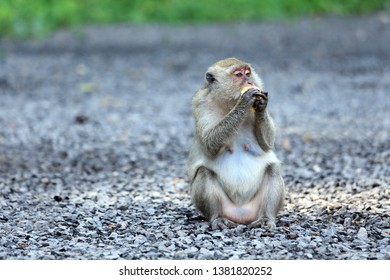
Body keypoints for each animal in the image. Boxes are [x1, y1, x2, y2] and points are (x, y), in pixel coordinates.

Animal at [187, 57, 284, 230]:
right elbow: (209, 144)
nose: (250, 82)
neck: (228, 104)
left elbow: (267, 144)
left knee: (272, 169)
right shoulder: (200, 103)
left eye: (248, 73)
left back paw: (266, 217)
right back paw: (217, 218)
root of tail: (241, 214)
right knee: (204, 172)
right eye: (239, 75)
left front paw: (262, 105)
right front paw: (244, 101)